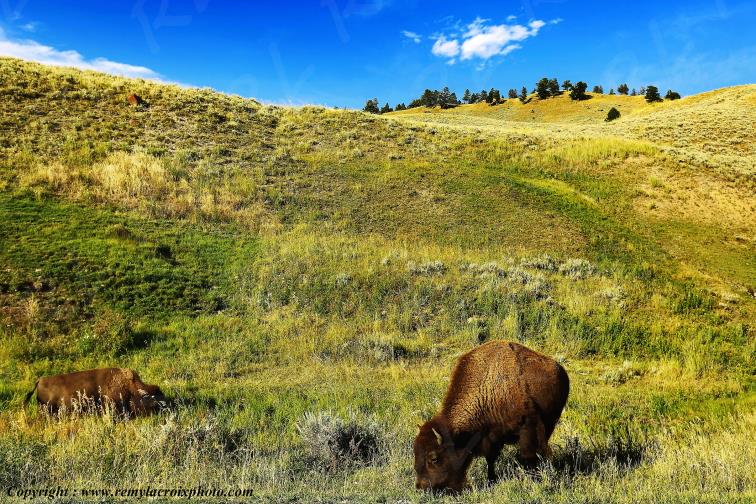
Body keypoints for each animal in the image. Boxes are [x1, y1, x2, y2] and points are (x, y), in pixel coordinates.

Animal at [414, 340, 569, 493]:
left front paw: (534, 480)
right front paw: (491, 480)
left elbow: (528, 455)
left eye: (434, 458)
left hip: (550, 423)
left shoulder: (528, 427)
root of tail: (560, 369)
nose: (422, 487)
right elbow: (491, 459)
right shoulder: (491, 436)